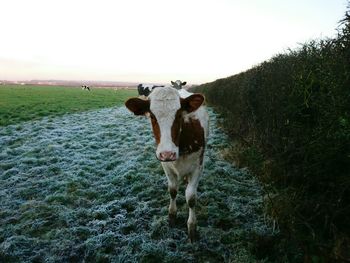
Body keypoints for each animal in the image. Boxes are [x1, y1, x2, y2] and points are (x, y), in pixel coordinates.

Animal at [125, 86, 209, 243]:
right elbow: (172, 190)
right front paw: (172, 215)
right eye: (152, 116)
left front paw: (192, 227)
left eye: (179, 115)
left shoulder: (198, 167)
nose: (167, 153)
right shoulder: (166, 166)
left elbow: (191, 197)